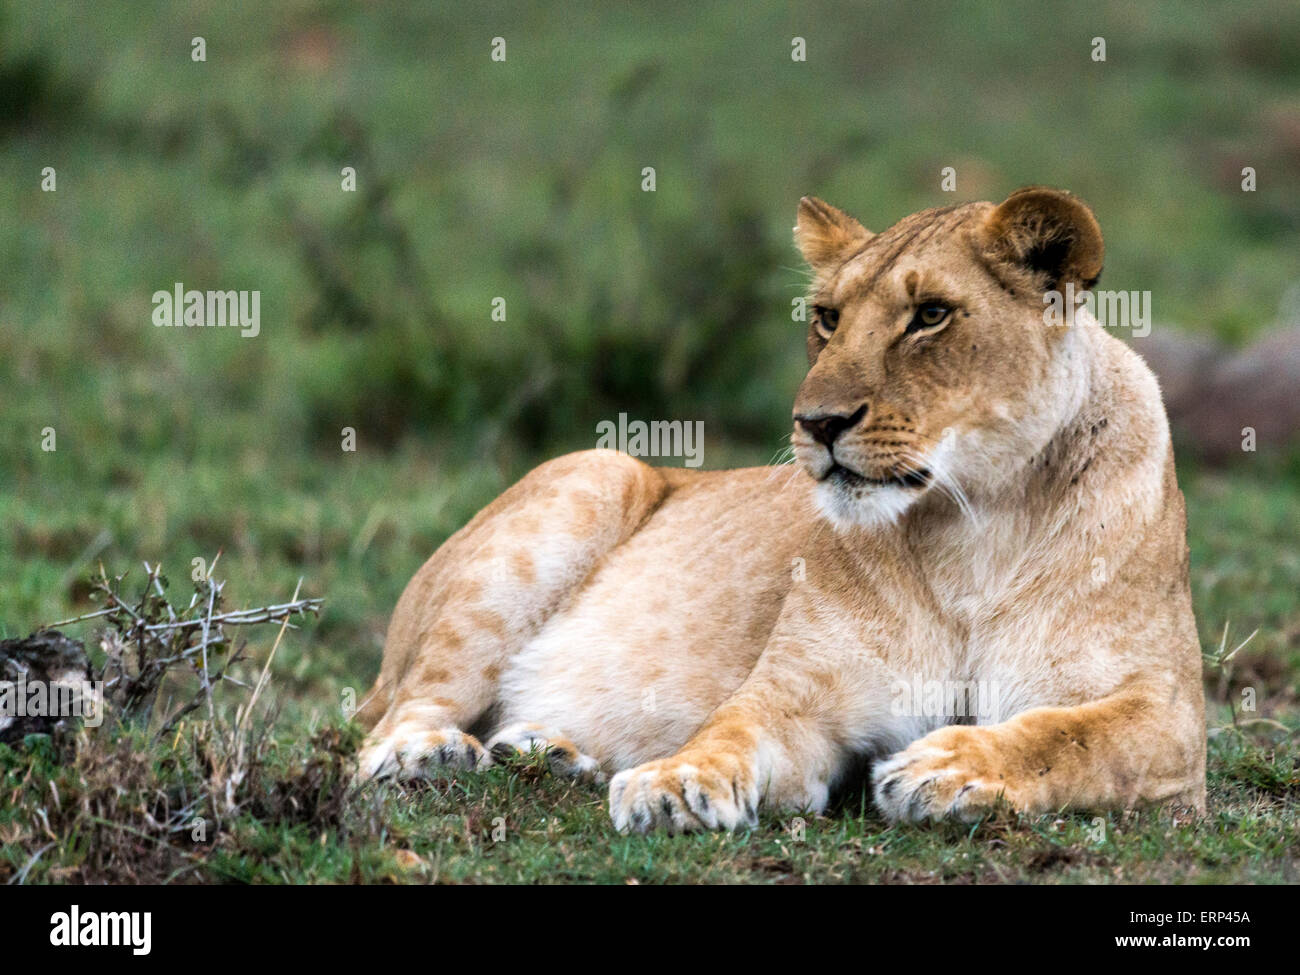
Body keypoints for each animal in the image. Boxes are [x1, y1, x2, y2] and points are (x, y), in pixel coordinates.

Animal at [355, 187, 1207, 832]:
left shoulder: (1171, 714)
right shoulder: (797, 696)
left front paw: (948, 765)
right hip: (593, 475)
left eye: (931, 314)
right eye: (827, 318)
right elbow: (730, 727)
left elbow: (1074, 733)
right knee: (388, 722)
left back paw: (546, 751)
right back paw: (432, 754)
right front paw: (671, 782)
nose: (818, 423)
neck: (973, 521)